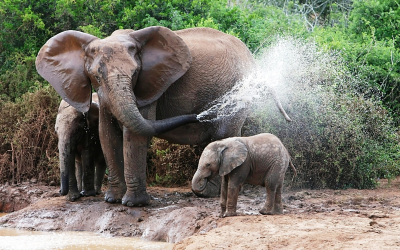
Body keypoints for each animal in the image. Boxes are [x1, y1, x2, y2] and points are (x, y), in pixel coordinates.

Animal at [36, 25, 290, 207]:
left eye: (135, 73)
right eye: (96, 76)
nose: (197, 115)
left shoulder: (148, 87)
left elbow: (134, 134)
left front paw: (133, 204)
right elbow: (107, 134)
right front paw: (112, 200)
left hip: (238, 91)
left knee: (223, 133)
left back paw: (207, 192)